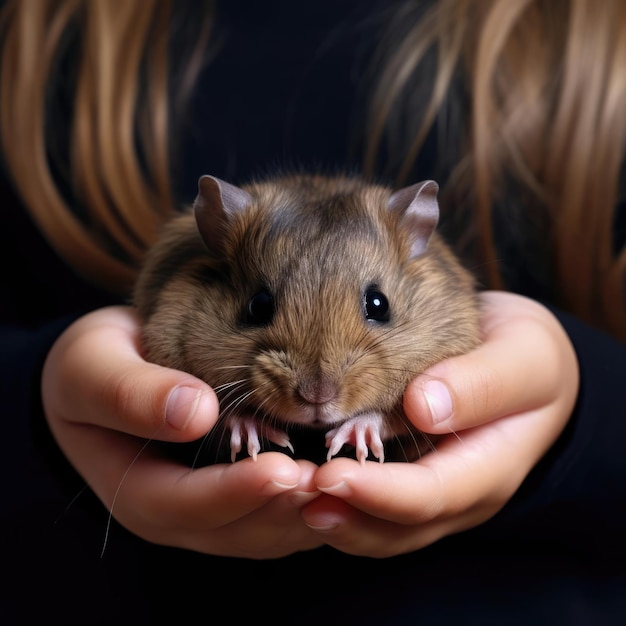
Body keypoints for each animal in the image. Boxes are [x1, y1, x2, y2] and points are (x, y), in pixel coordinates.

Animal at [134, 173, 480, 460]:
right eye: (258, 306)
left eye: (379, 304)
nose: (317, 398)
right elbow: (220, 415)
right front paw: (250, 429)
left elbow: (395, 415)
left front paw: (352, 434)